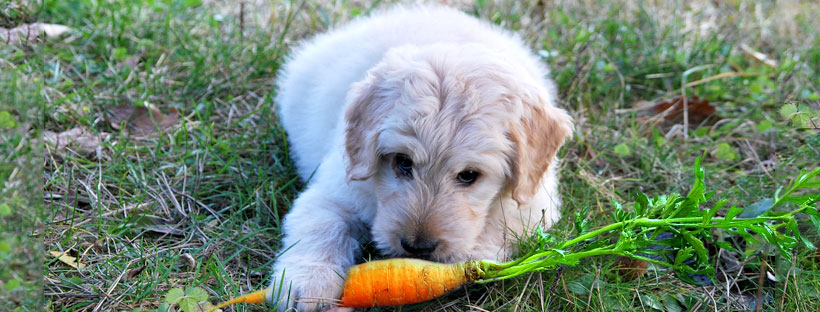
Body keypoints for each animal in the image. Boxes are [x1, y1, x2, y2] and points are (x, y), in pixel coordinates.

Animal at [268, 6, 572, 310]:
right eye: (403, 162)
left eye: (469, 175)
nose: (417, 248)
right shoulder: (334, 191)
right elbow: (320, 227)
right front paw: (307, 285)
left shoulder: (535, 202)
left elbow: (502, 224)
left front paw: (472, 263)